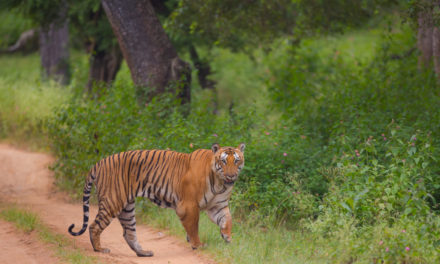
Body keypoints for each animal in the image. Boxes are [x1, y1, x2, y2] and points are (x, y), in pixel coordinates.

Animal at [68, 143, 244, 256]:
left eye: (236, 161)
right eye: (223, 161)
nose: (231, 176)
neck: (220, 183)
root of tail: (99, 162)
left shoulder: (218, 206)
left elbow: (227, 220)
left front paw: (228, 239)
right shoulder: (188, 206)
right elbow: (194, 227)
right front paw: (197, 245)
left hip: (127, 207)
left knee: (128, 233)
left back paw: (143, 253)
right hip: (113, 201)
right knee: (94, 226)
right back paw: (99, 249)